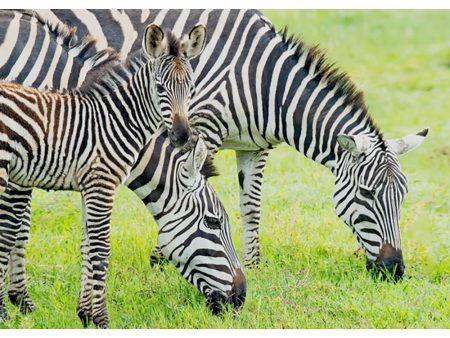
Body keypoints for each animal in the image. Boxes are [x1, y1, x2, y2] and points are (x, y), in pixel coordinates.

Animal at [0, 19, 243, 326]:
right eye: (213, 222)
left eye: (191, 88)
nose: (241, 298)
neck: (115, 122)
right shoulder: (95, 183)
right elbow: (93, 247)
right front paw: (100, 318)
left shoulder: (88, 185)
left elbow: (87, 245)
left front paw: (85, 315)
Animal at [8, 9, 428, 278]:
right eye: (368, 194)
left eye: (403, 197)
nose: (395, 270)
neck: (263, 80)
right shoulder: (199, 129)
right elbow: (188, 190)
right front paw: (162, 260)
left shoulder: (255, 148)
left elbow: (251, 207)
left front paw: (254, 265)